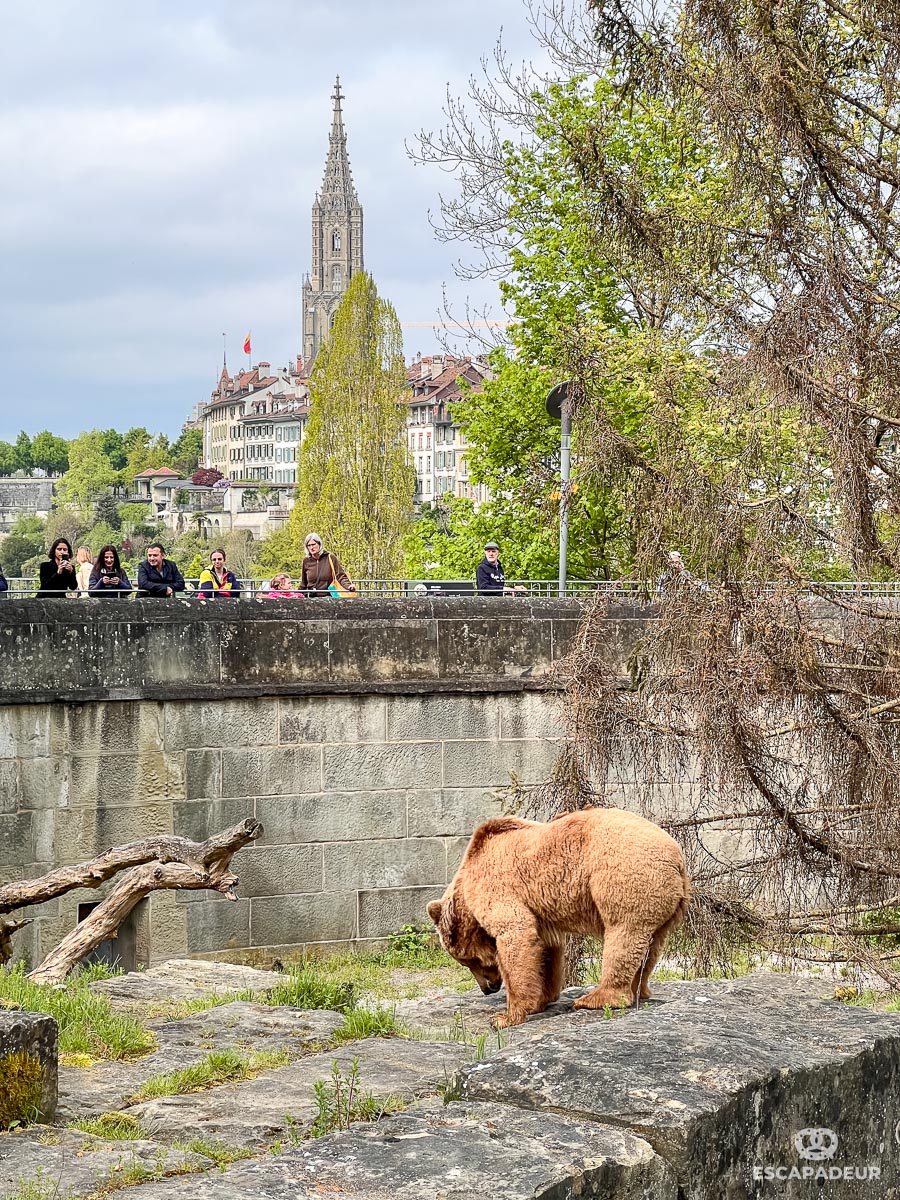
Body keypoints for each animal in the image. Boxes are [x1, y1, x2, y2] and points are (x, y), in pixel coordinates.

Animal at [427, 801, 696, 1027]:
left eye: (467, 961)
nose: (488, 989)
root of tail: (677, 858)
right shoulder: (540, 913)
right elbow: (545, 950)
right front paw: (540, 999)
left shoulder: (497, 887)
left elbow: (516, 934)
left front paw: (505, 1016)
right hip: (664, 901)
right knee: (651, 945)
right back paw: (639, 990)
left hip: (624, 877)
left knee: (623, 935)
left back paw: (595, 998)